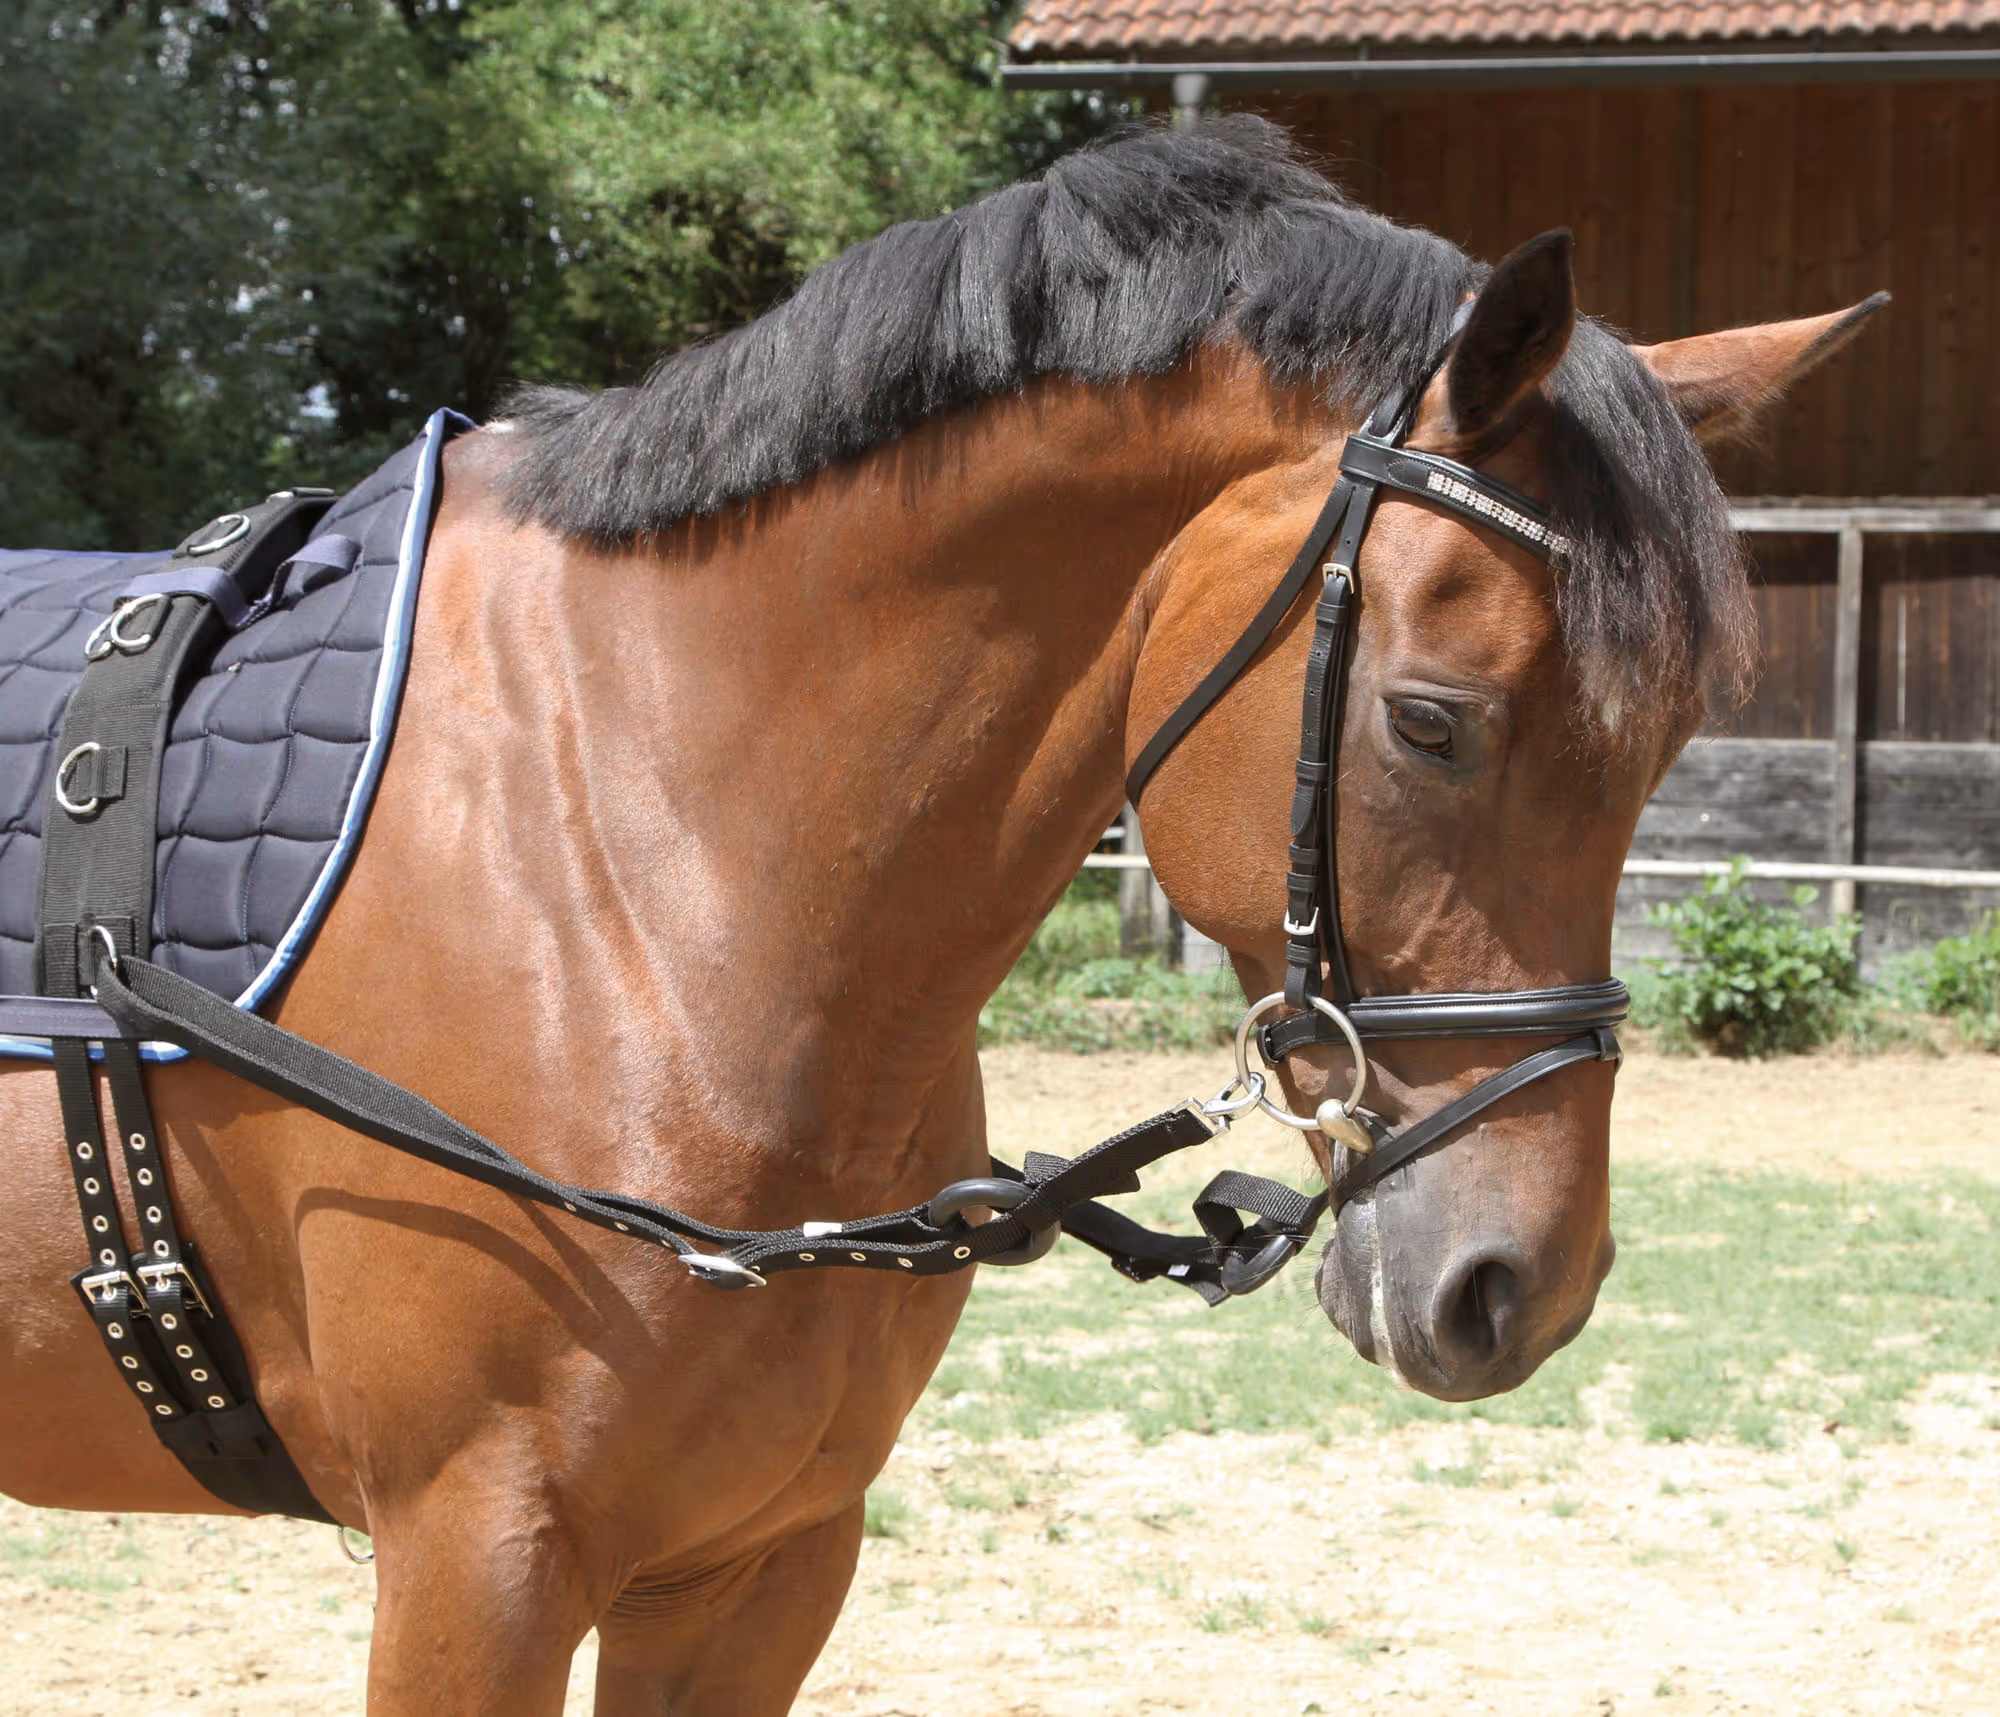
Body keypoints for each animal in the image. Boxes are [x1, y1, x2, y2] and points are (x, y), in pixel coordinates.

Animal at [0, 118, 1881, 1713]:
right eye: (1431, 720)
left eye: (1670, 743)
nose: (1519, 1288)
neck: (634, 852)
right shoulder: (478, 1557)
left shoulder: (761, 1563)